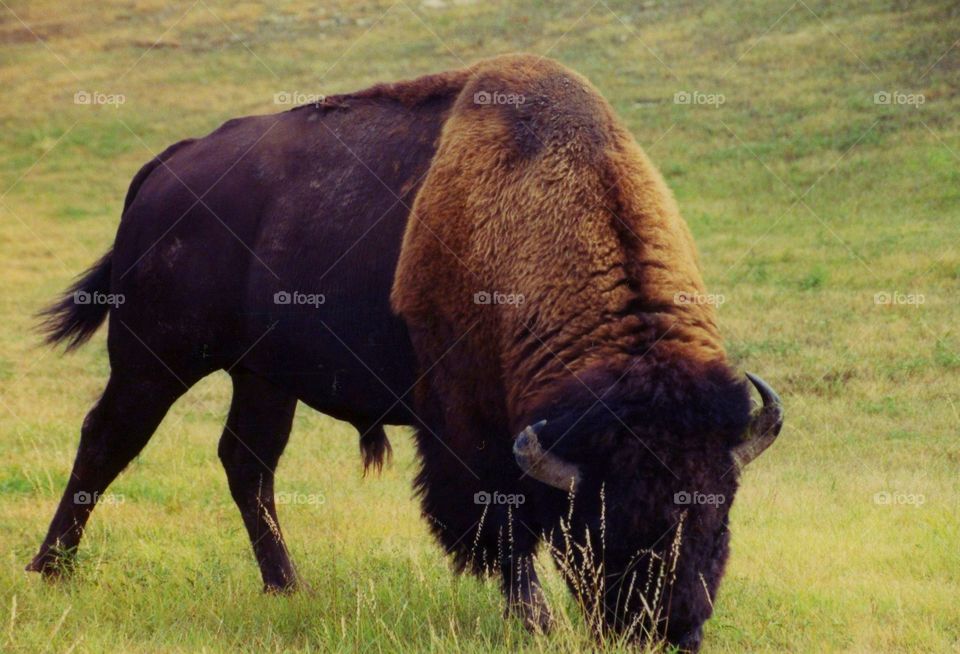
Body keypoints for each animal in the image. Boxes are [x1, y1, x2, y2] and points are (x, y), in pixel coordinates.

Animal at [29, 54, 783, 652]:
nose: (672, 631)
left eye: (719, 512)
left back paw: (288, 587)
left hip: (263, 378)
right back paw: (50, 571)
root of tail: (165, 169)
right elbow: (500, 524)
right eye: (608, 522)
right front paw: (538, 624)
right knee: (106, 440)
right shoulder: (469, 432)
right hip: (153, 359)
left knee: (248, 465)